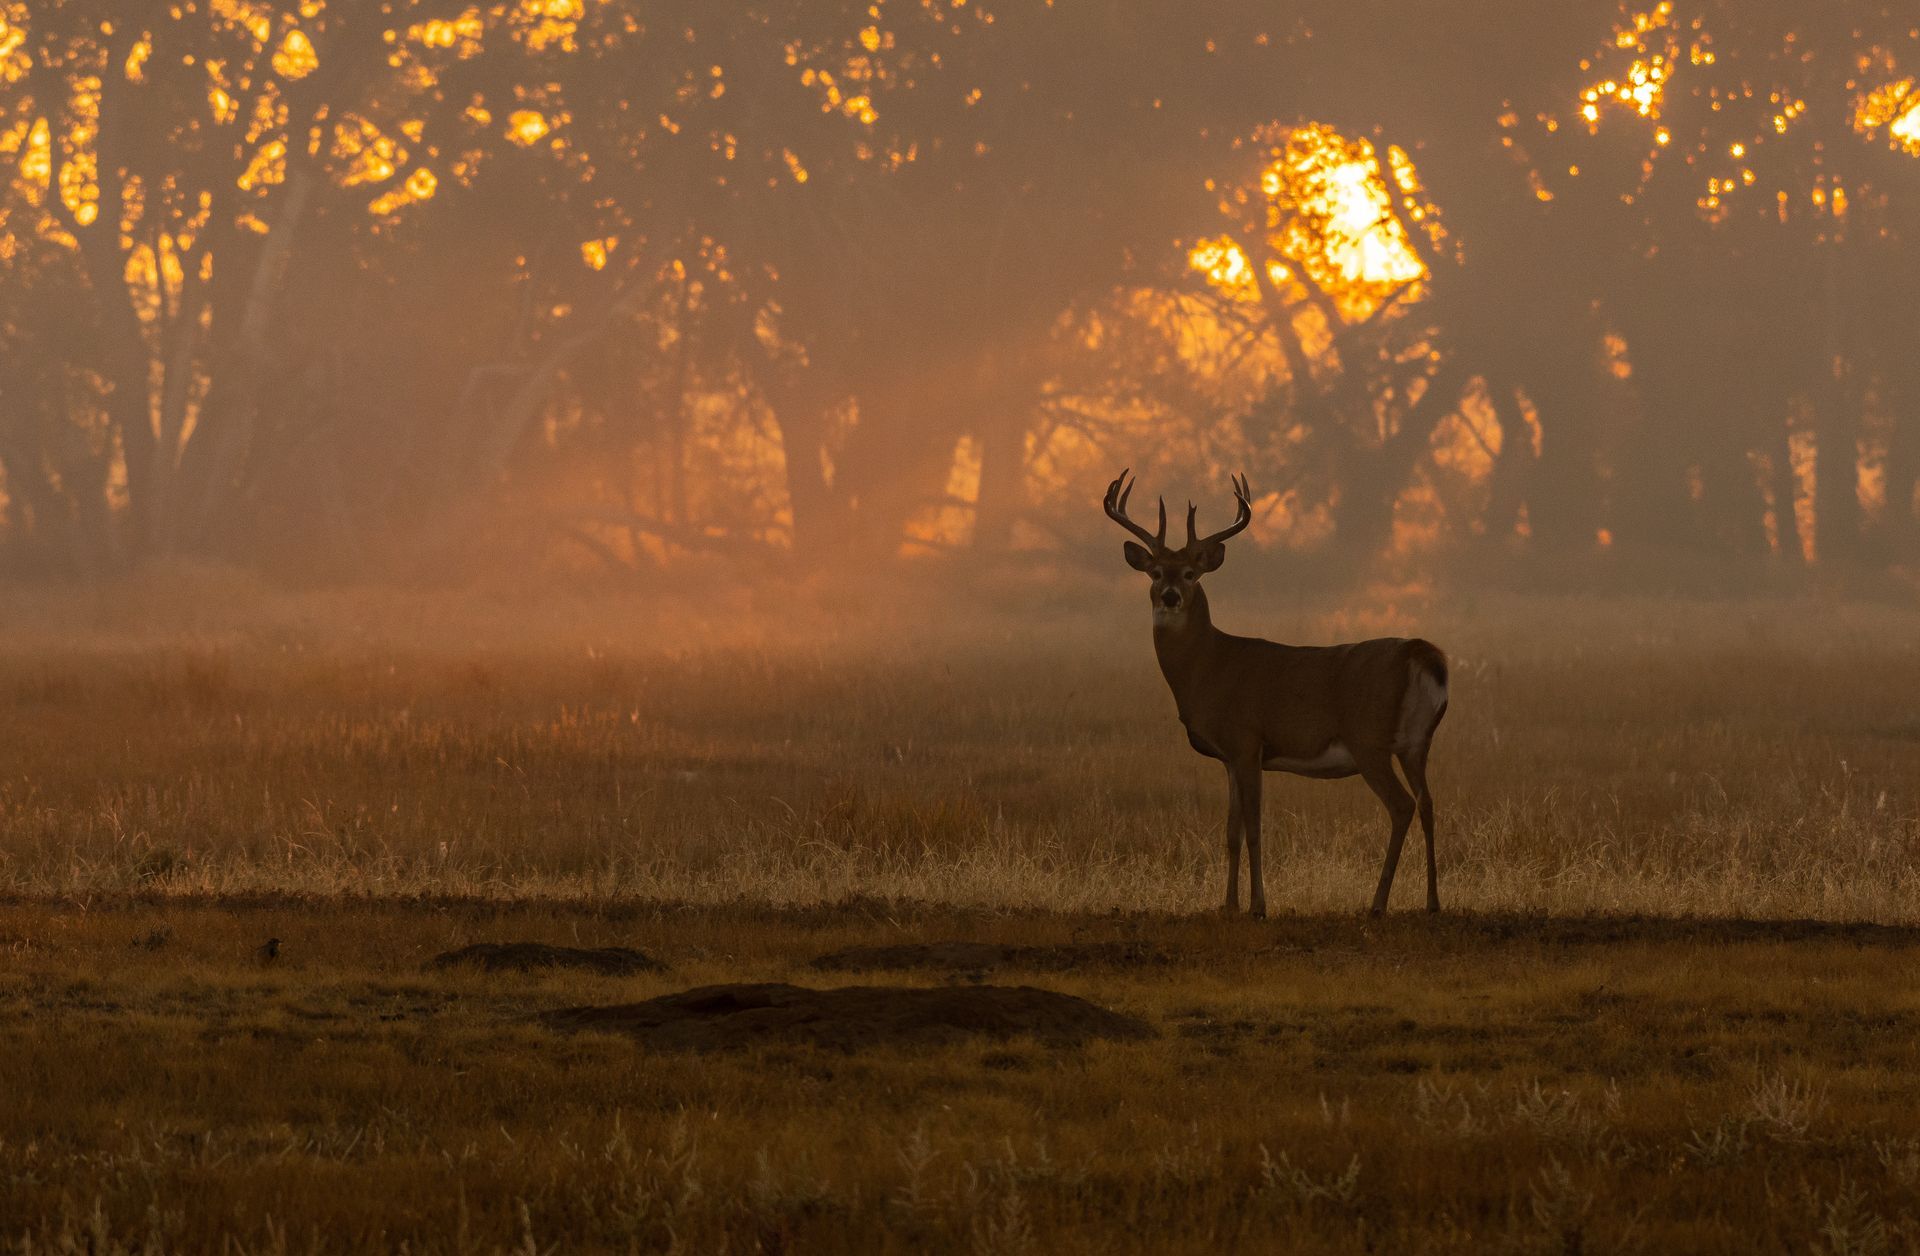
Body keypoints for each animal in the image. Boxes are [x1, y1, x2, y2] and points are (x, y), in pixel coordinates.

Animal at [1105, 466, 1443, 921]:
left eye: (1191, 573)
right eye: (1155, 572)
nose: (1170, 596)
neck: (1209, 667)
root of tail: (1418, 652)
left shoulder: (1248, 741)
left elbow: (1254, 828)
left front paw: (1258, 906)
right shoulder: (1230, 757)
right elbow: (1230, 831)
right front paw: (1227, 904)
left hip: (1369, 741)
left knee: (1402, 805)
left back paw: (1377, 904)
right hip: (1415, 743)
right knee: (1428, 804)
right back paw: (1432, 902)